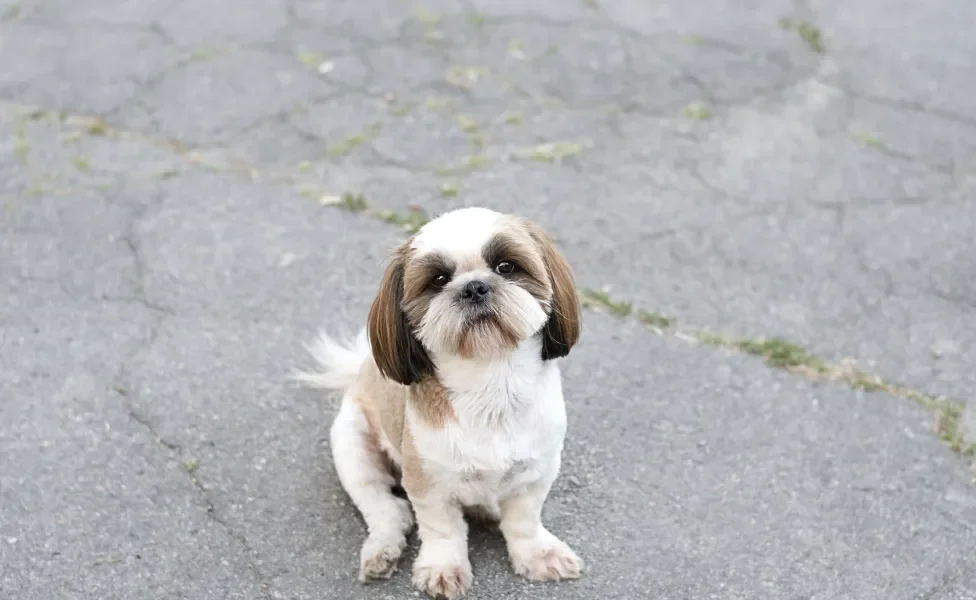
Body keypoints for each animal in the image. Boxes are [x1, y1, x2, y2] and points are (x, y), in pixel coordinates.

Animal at [298, 207, 584, 600]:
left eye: (506, 267)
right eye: (438, 279)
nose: (474, 286)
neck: (489, 383)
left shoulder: (536, 471)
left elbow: (524, 519)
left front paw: (537, 553)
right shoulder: (427, 481)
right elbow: (442, 528)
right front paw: (443, 567)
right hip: (353, 448)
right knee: (387, 508)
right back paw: (382, 551)